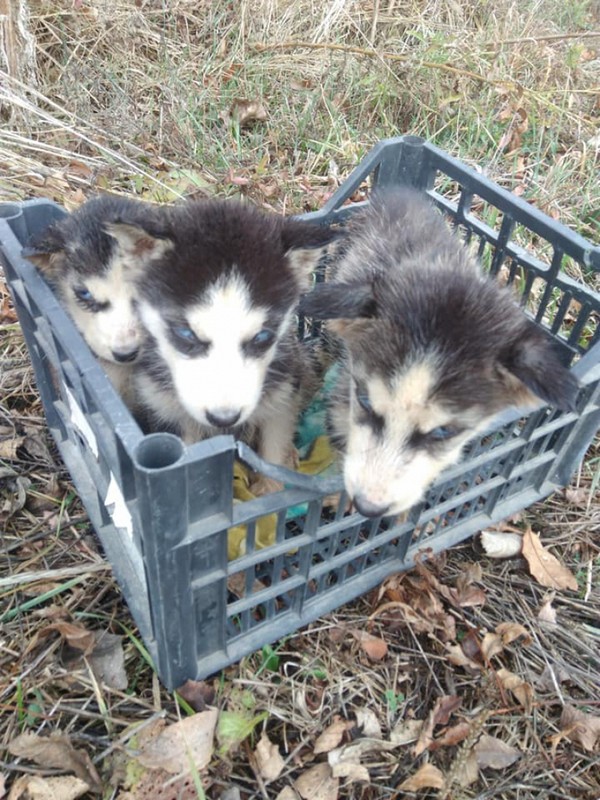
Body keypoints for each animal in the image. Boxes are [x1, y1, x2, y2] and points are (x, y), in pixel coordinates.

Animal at [108, 198, 340, 490]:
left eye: (262, 337)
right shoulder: (166, 412)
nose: (224, 418)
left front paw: (270, 487)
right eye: (186, 334)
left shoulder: (283, 398)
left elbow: (274, 452)